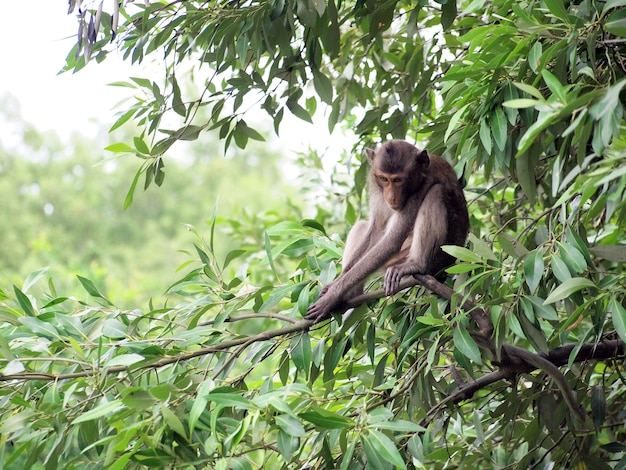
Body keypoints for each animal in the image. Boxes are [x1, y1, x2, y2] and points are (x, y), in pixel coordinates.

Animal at [302, 140, 468, 324]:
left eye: (398, 180)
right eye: (384, 179)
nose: (391, 196)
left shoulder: (421, 186)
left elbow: (391, 241)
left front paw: (330, 297)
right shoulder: (376, 187)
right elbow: (377, 230)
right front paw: (334, 287)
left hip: (437, 258)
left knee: (436, 192)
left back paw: (416, 264)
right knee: (362, 226)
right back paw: (352, 294)